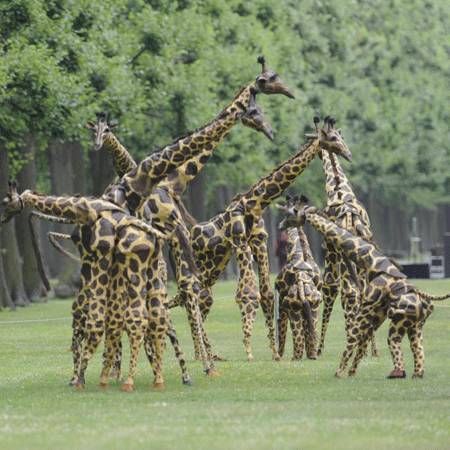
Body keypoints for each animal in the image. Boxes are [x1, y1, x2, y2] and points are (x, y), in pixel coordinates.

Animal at [272, 195, 322, 360]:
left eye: (286, 214)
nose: (280, 226)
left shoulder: (281, 299)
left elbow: (280, 328)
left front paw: (278, 355)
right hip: (313, 306)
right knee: (310, 340)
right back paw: (313, 355)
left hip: (292, 308)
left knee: (298, 347)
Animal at [298, 206, 450, 378]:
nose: (302, 212)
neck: (374, 264)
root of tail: (423, 307)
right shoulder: (375, 316)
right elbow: (360, 346)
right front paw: (351, 373)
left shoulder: (366, 309)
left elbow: (351, 342)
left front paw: (339, 373)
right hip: (415, 327)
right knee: (418, 351)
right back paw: (415, 374)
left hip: (399, 323)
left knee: (393, 342)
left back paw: (396, 373)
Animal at [316, 125, 380, 356]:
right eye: (337, 138)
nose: (349, 154)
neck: (337, 189)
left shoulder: (330, 255)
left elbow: (330, 290)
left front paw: (319, 349)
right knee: (361, 291)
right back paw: (366, 346)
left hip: (342, 259)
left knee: (349, 292)